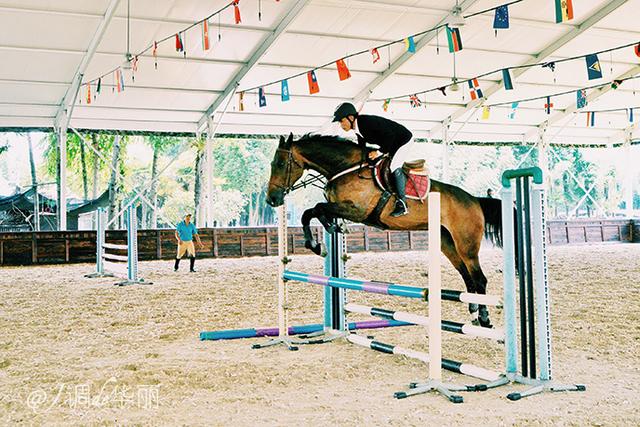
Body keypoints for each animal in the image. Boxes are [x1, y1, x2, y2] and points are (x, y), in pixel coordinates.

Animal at [266, 134, 504, 328]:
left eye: (280, 163)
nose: (271, 199)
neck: (345, 168)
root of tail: (474, 200)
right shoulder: (341, 207)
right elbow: (311, 212)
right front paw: (324, 238)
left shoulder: (357, 210)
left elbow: (315, 209)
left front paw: (321, 241)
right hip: (447, 243)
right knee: (467, 276)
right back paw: (473, 314)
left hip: (466, 244)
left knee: (479, 279)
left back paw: (484, 318)